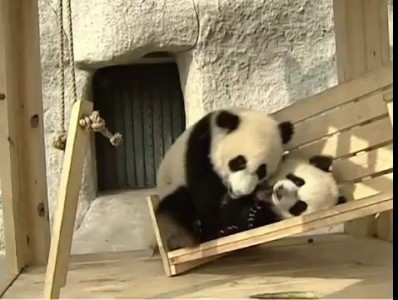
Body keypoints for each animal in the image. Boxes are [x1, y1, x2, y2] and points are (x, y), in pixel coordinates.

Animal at [154, 108, 294, 251]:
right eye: (239, 162)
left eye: (261, 171)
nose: (240, 192)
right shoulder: (201, 152)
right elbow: (205, 194)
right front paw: (216, 230)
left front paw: (251, 216)